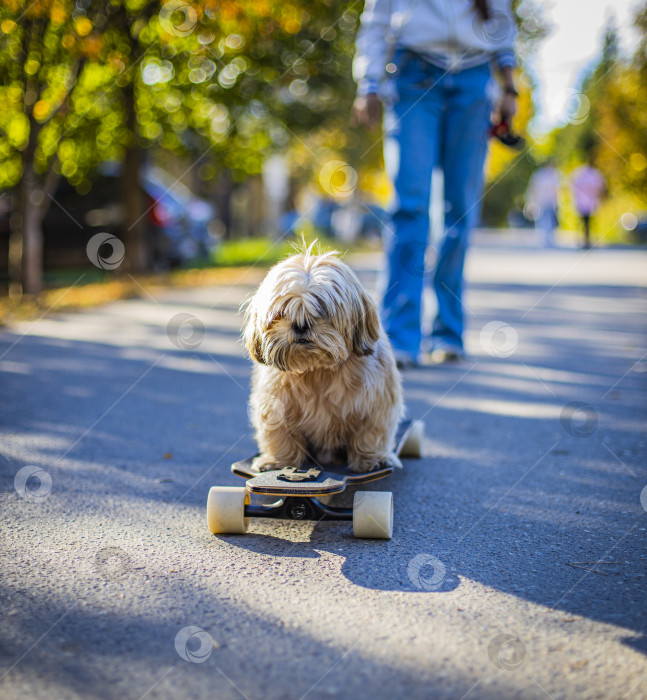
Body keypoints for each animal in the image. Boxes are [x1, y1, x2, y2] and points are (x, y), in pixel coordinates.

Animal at [244, 243, 402, 474]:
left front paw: (372, 459)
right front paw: (278, 460)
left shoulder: (377, 403)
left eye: (320, 309)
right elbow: (279, 435)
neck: (316, 369)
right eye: (282, 312)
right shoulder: (275, 405)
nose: (301, 324)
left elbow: (371, 433)